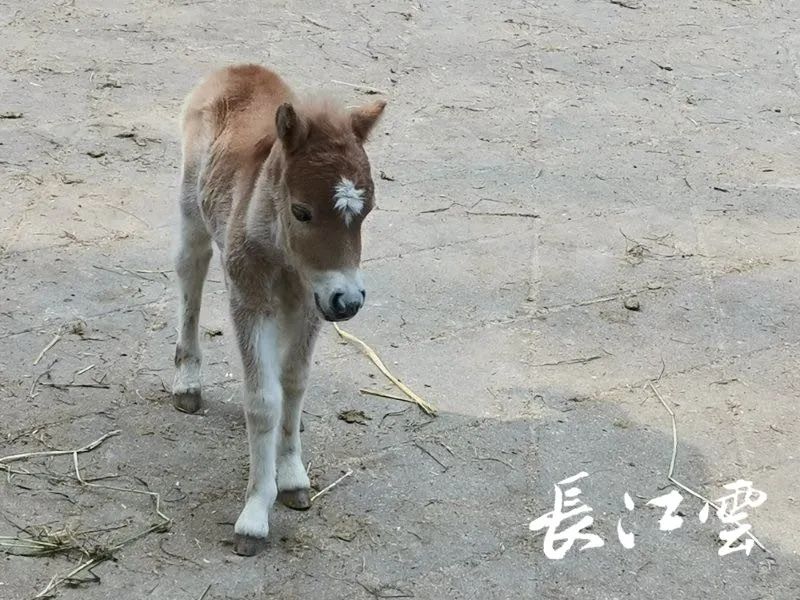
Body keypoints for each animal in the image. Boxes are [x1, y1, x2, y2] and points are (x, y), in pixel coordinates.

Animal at [173, 63, 388, 556]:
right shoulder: (250, 302)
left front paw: (291, 477)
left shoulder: (311, 307)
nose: (349, 301)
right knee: (191, 271)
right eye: (302, 211)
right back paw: (187, 381)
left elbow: (293, 383)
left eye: (368, 210)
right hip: (192, 208)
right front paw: (254, 514)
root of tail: (239, 68)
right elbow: (263, 400)